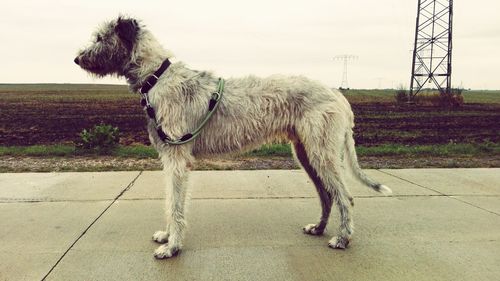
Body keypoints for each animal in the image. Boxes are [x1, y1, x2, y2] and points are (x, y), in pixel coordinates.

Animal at [76, 16, 392, 258]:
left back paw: (343, 238)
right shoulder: (172, 157)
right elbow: (171, 202)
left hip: (321, 152)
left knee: (344, 196)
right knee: (327, 195)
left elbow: (175, 203)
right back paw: (319, 228)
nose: (77, 58)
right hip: (305, 152)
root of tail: (338, 95)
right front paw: (167, 236)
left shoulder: (177, 158)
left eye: (101, 37)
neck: (157, 76)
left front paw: (173, 247)